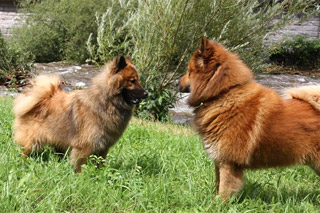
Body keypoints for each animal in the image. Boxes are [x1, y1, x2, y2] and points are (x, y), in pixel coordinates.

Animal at [13, 56, 147, 173]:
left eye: (138, 80)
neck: (106, 102)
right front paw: (81, 176)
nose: (146, 93)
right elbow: (80, 164)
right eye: (133, 81)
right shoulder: (85, 146)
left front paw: (100, 173)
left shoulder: (103, 147)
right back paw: (23, 163)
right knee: (24, 151)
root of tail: (42, 98)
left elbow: (100, 163)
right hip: (32, 142)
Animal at [179, 37, 318, 199]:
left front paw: (218, 203)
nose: (176, 83)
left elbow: (224, 189)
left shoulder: (228, 162)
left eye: (188, 71)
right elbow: (217, 184)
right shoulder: (219, 160)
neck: (222, 94)